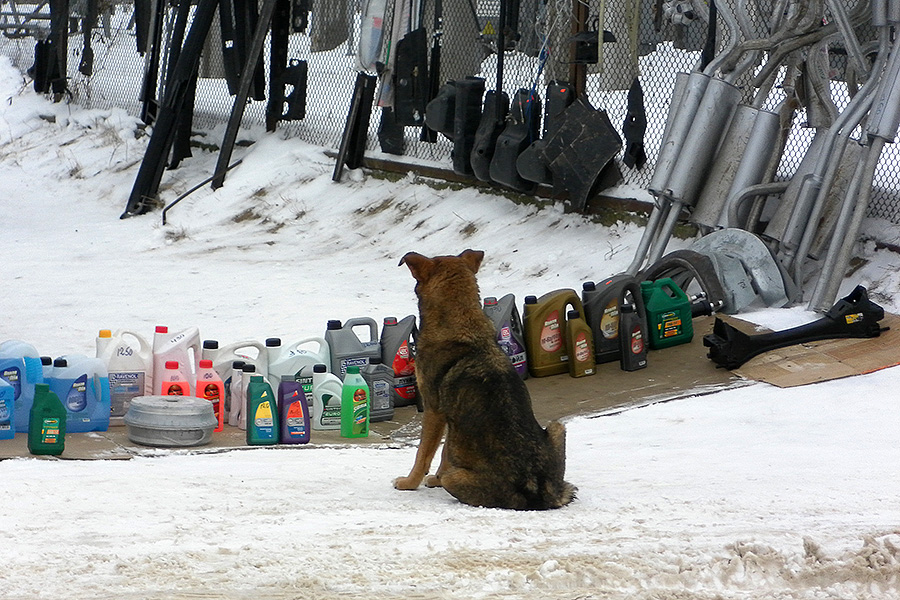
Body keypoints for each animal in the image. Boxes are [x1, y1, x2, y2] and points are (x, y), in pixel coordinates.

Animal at [394, 250, 576, 510]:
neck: (463, 327)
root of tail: (535, 488)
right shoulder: (453, 419)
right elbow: (445, 452)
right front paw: (434, 478)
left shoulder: (433, 410)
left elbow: (424, 454)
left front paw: (410, 483)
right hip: (556, 427)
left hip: (456, 478)